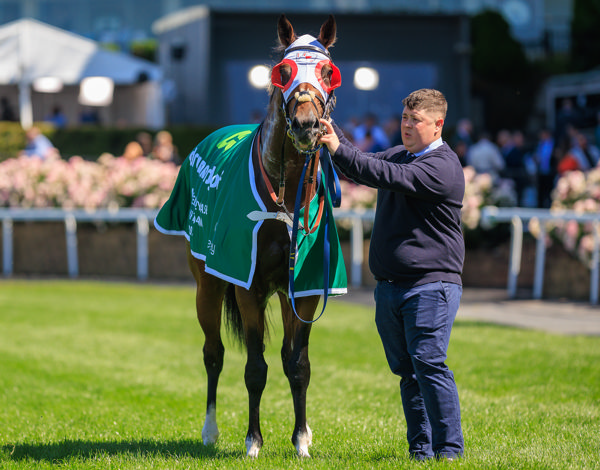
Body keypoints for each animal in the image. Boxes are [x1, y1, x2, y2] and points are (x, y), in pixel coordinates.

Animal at [155, 13, 344, 456]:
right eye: (283, 73)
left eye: (328, 73)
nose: (307, 126)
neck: (284, 202)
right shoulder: (247, 285)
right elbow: (255, 367)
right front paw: (253, 441)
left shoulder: (304, 290)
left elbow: (298, 364)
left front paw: (301, 440)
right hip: (206, 285)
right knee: (213, 353)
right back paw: (210, 431)